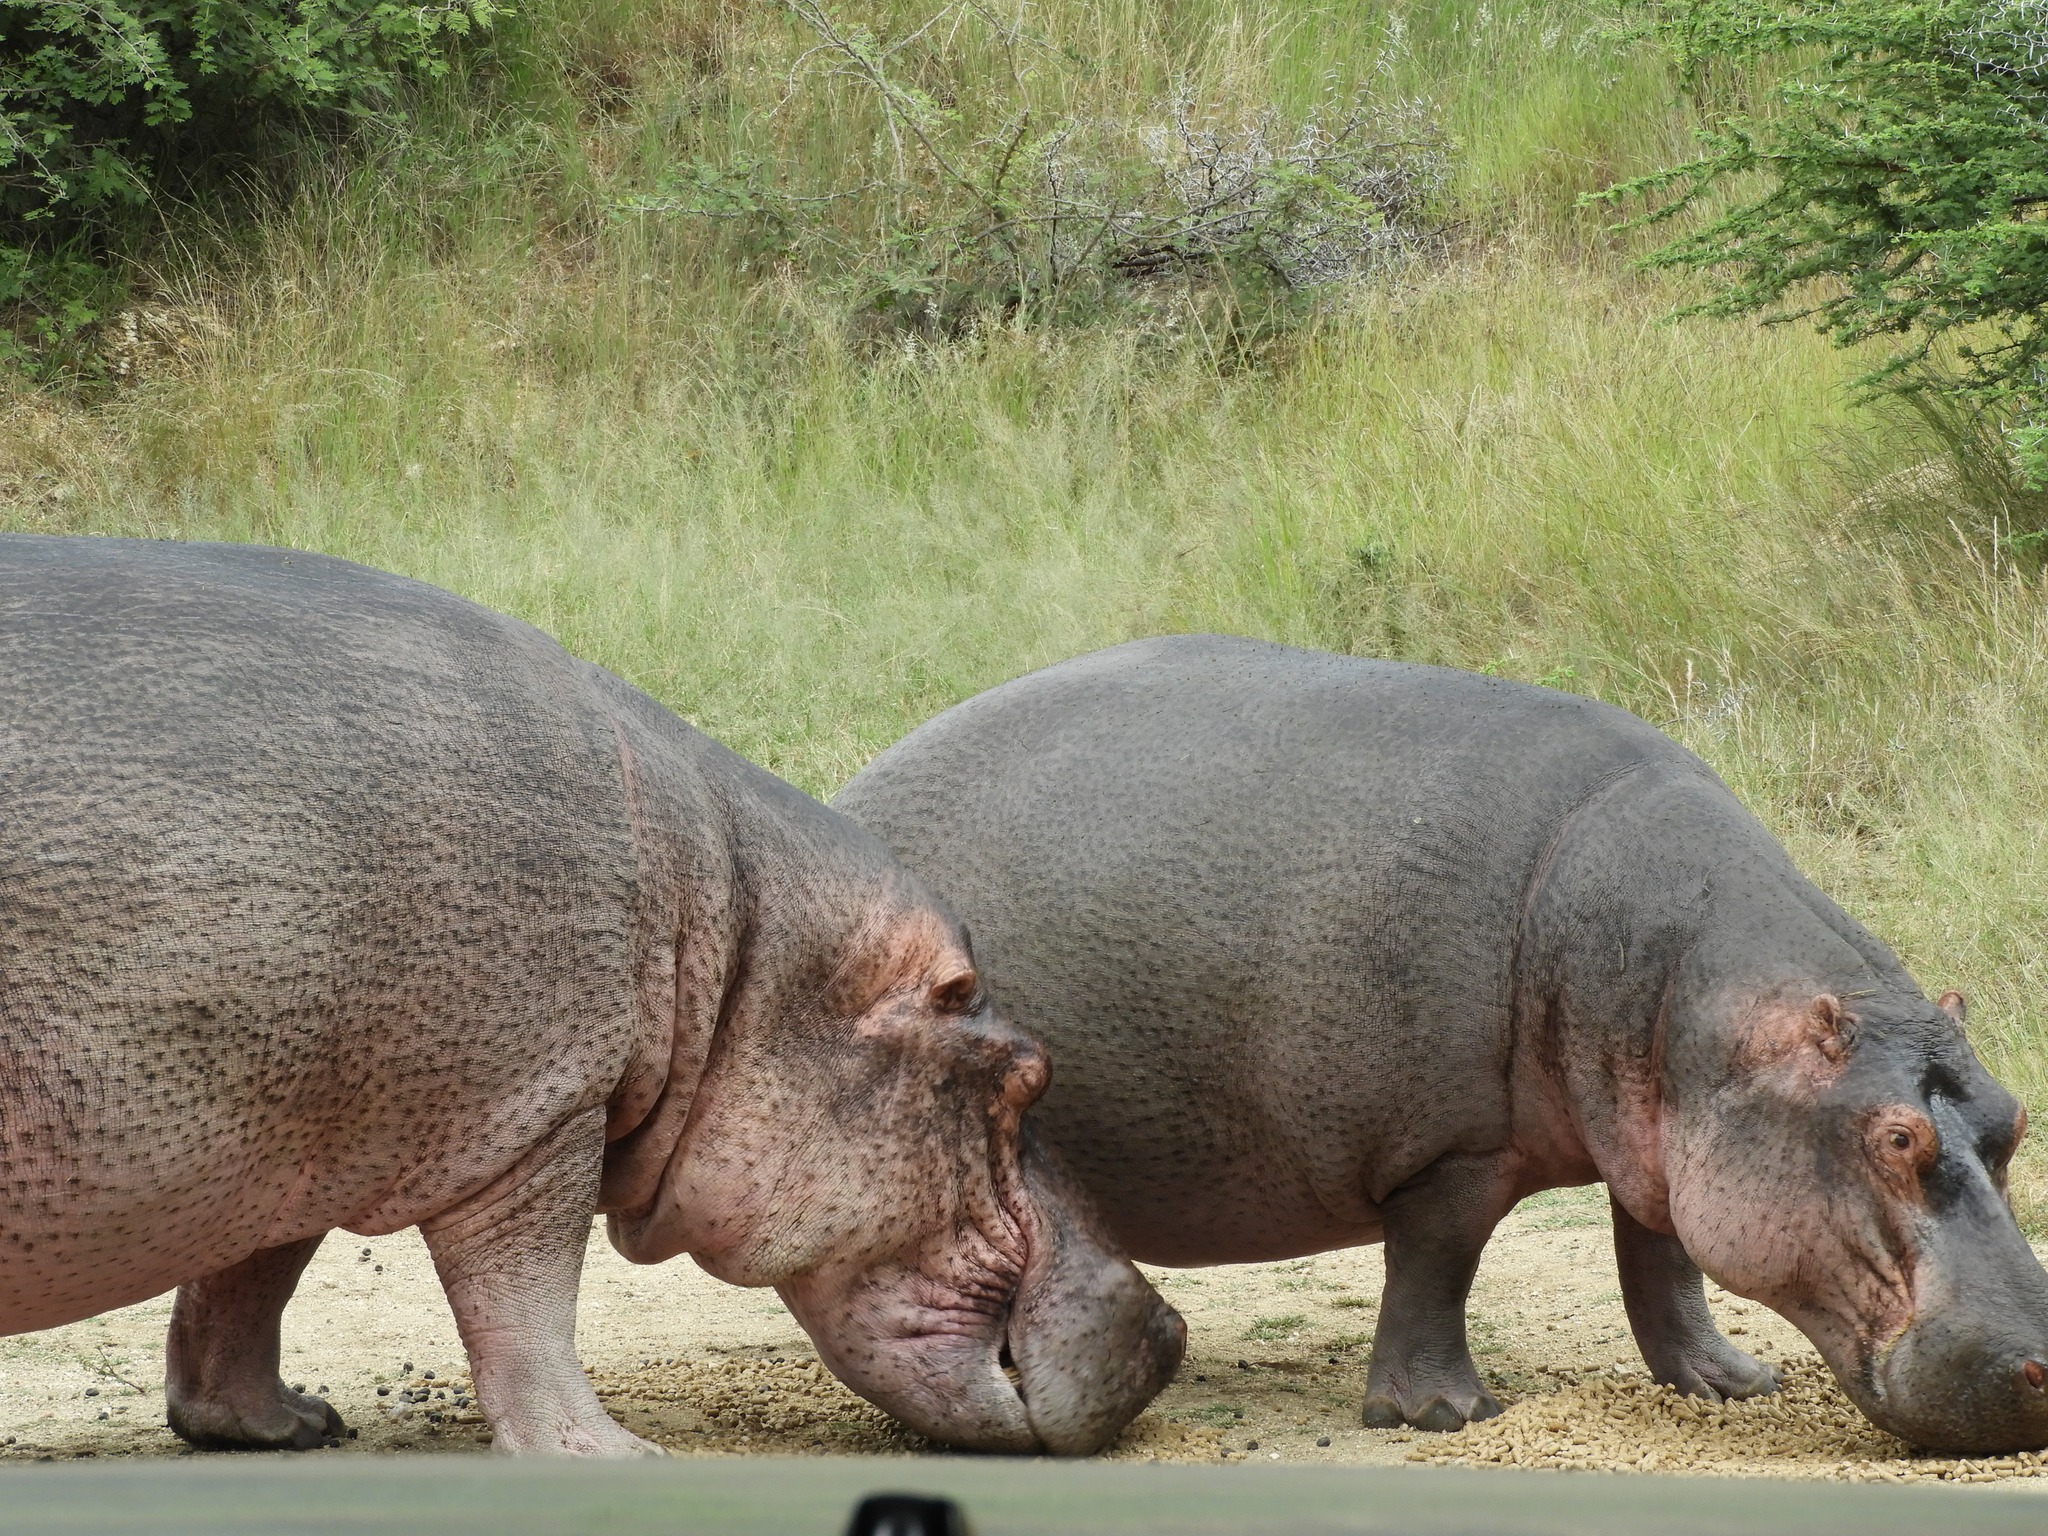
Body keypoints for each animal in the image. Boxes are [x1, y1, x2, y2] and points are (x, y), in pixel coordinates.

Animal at [0, 535, 1182, 1456]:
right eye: (1027, 1075)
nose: (1169, 1331)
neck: (730, 936)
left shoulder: (301, 1123)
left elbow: (247, 1279)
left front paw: (284, 1425)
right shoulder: (538, 1110)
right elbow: (527, 1299)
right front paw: (609, 1452)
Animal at [834, 634, 2048, 1454]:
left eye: (2011, 1120)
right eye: (1893, 1138)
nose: (2040, 1365)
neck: (1692, 995)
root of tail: (852, 785)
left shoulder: (1658, 1136)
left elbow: (1661, 1264)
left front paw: (1727, 1387)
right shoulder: (1450, 1149)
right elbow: (1438, 1263)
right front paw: (1441, 1414)